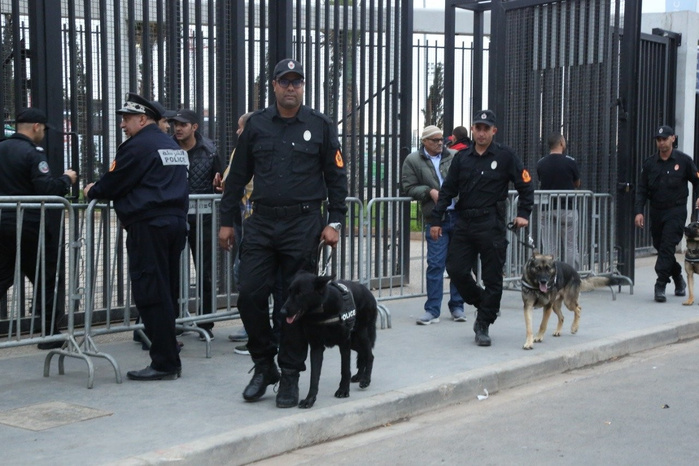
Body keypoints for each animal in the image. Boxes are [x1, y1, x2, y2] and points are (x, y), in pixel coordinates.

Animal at [280, 272, 378, 410]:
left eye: (300, 293)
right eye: (289, 291)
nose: (282, 312)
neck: (322, 309)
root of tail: (367, 290)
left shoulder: (344, 343)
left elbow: (345, 369)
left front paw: (343, 390)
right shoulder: (316, 348)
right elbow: (314, 376)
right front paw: (310, 399)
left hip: (361, 335)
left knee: (369, 355)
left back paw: (366, 379)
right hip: (354, 341)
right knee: (363, 354)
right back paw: (360, 376)